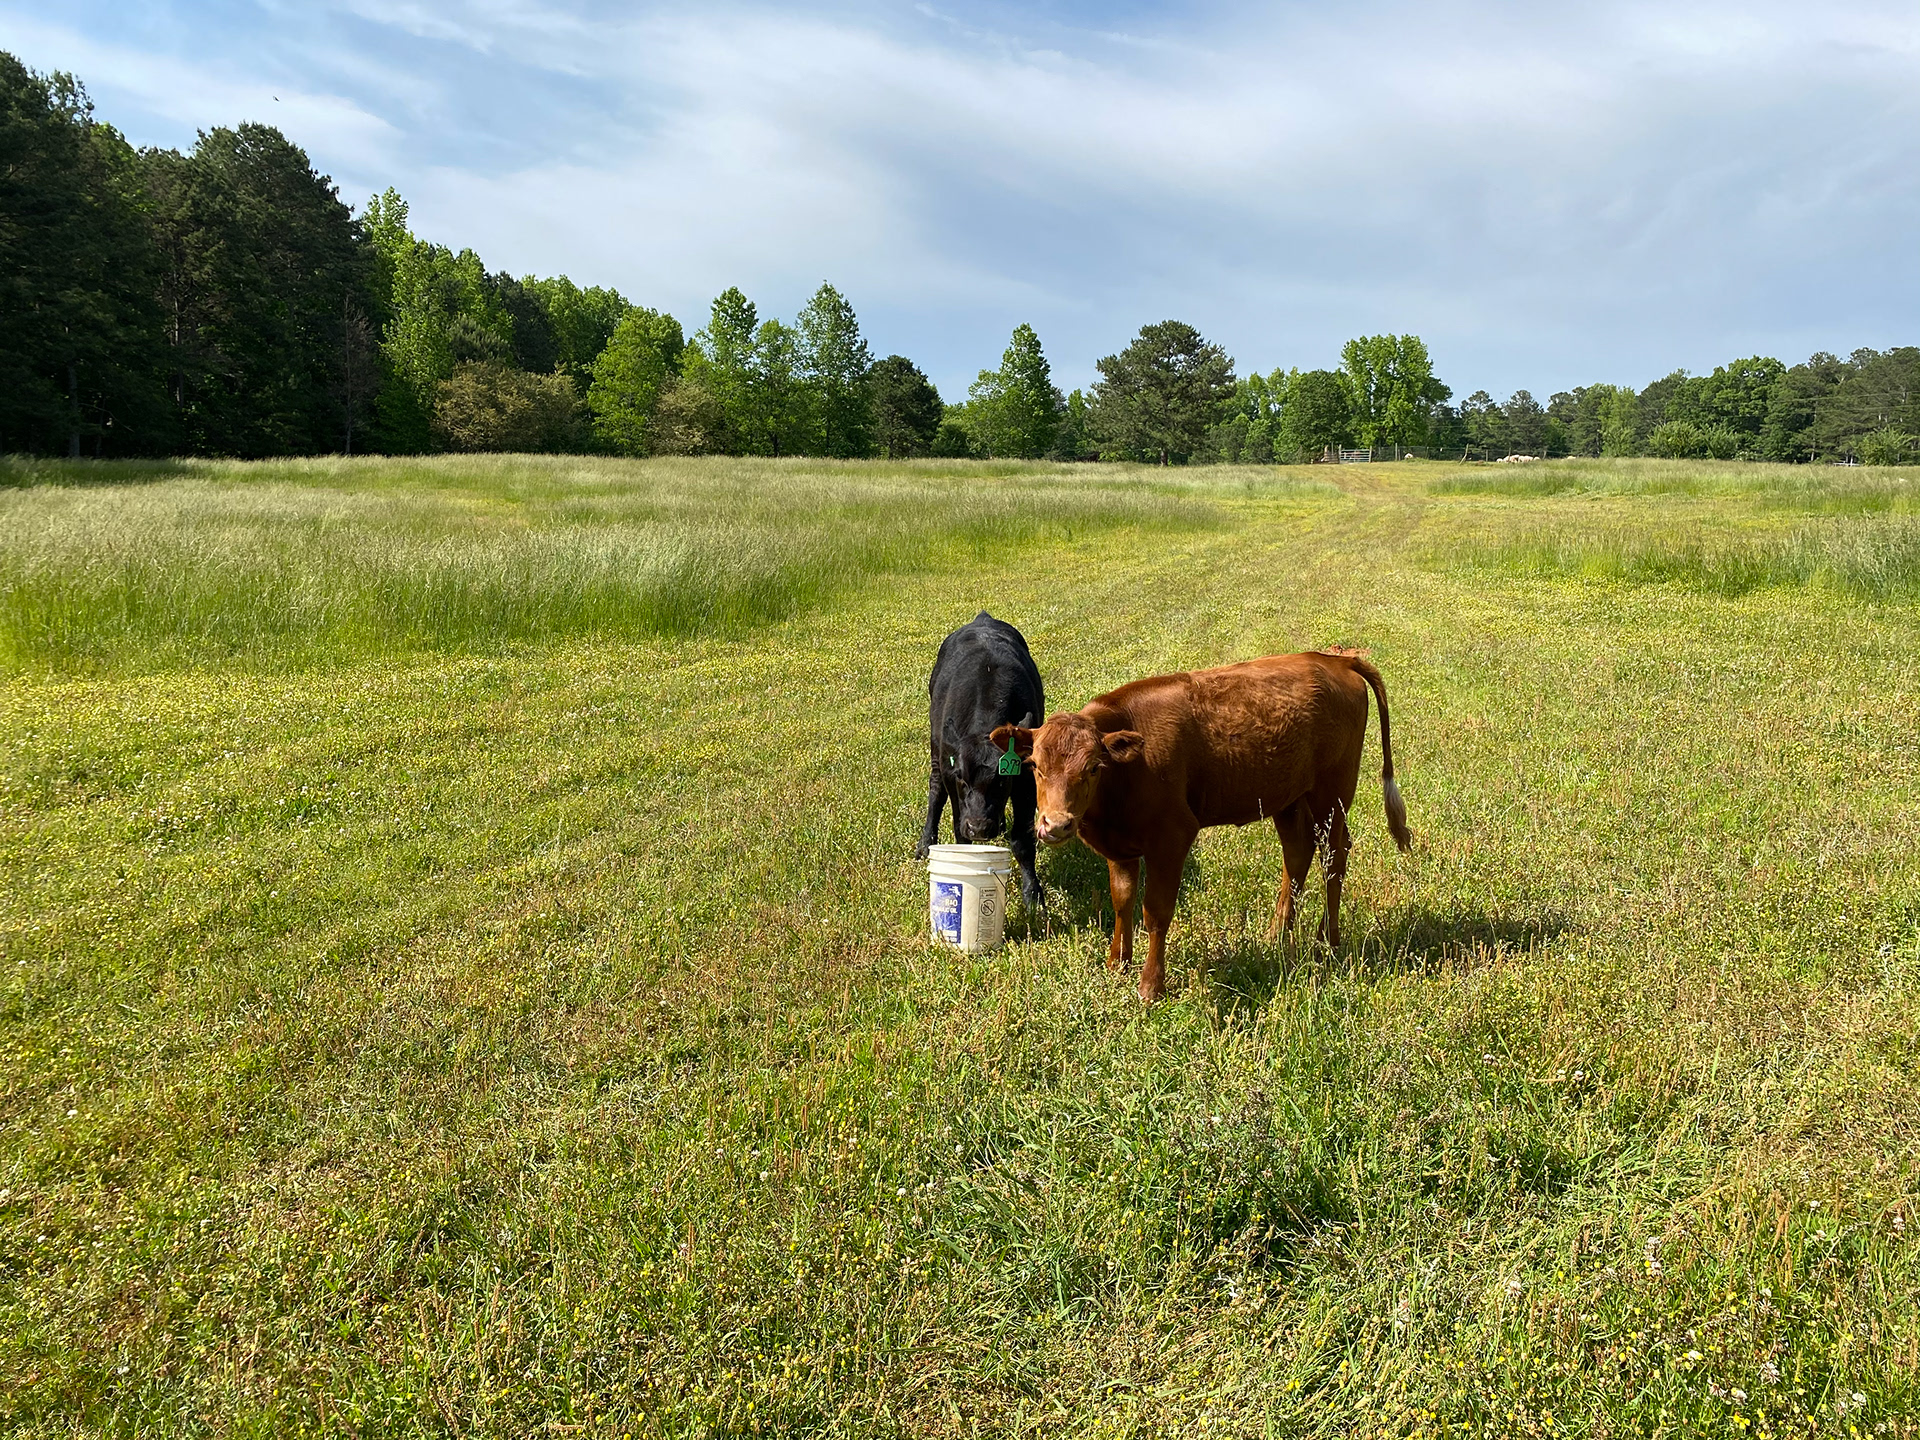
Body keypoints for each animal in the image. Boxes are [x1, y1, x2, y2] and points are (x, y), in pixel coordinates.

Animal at [917, 612, 1046, 910]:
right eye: (963, 779)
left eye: (1002, 782)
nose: (978, 827)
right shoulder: (951, 774)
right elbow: (958, 829)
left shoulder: (1026, 780)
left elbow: (1022, 841)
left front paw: (1032, 895)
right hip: (936, 751)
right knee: (935, 791)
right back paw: (926, 842)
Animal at [992, 648, 1411, 1001]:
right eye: (1034, 766)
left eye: (1094, 767)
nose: (1055, 825)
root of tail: (1334, 658)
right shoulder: (1121, 847)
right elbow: (1122, 902)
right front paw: (1117, 963)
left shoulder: (1172, 837)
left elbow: (1155, 912)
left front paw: (1150, 985)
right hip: (1290, 798)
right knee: (1298, 854)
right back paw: (1277, 935)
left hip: (1333, 793)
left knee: (1334, 856)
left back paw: (1329, 939)